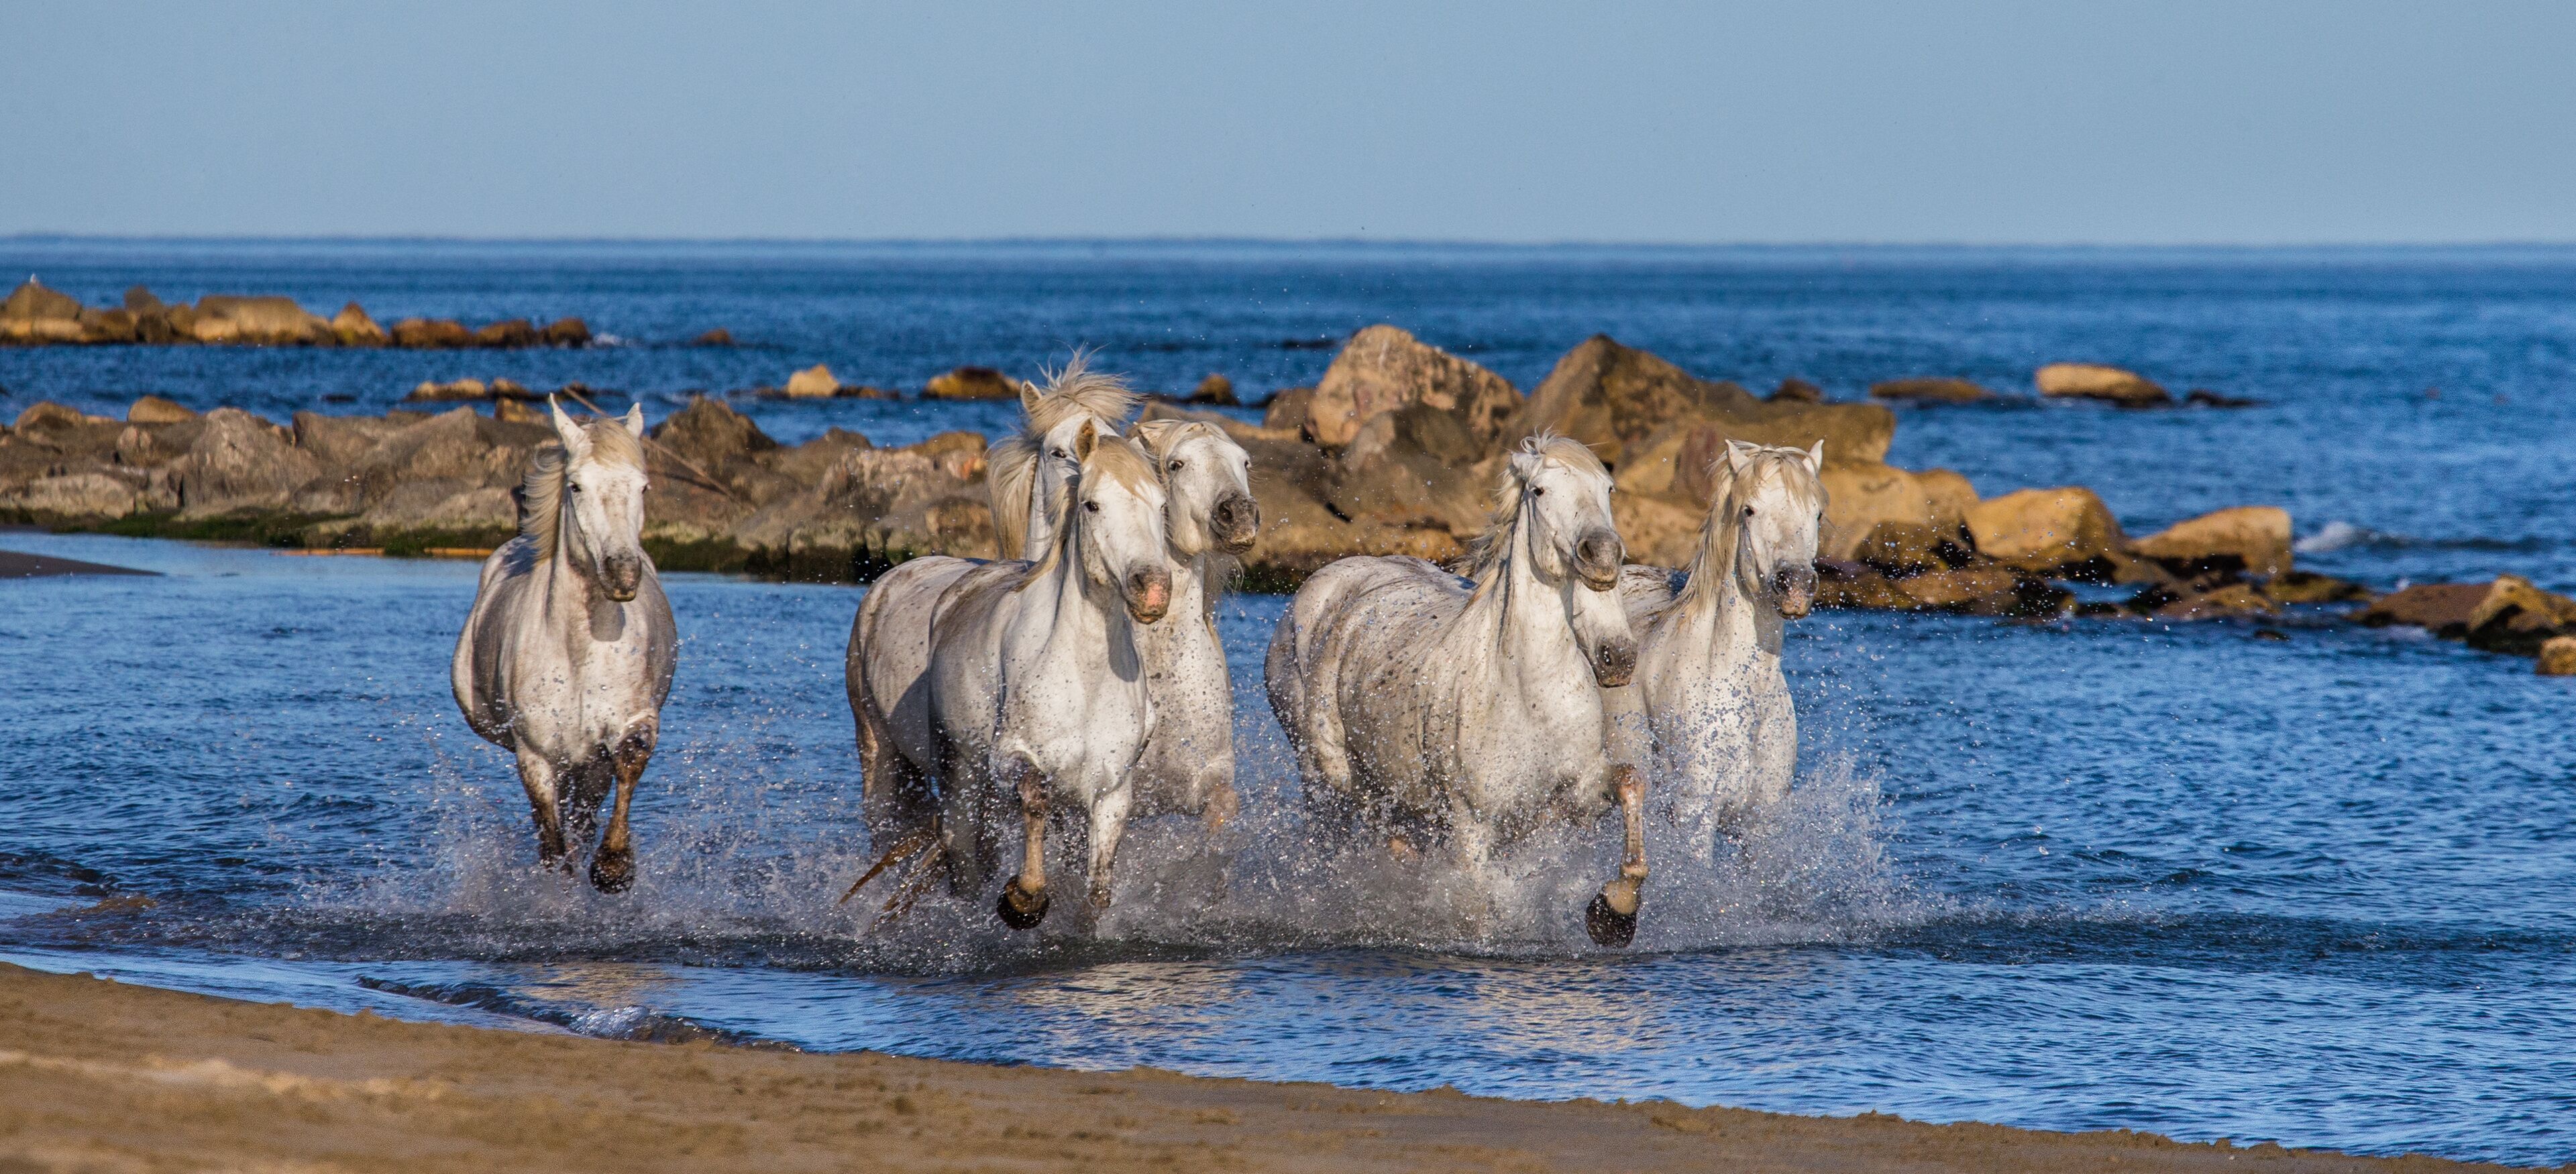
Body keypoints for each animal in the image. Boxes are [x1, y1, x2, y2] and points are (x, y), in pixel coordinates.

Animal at [452, 398, 678, 893]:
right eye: (576, 486)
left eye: (644, 486)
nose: (622, 574)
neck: (579, 654)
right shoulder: (534, 754)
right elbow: (551, 843)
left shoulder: (626, 728)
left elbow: (630, 762)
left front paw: (613, 868)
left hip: (586, 765)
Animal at [850, 418, 1172, 929]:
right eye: (1092, 504)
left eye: (1162, 505)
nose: (1153, 590)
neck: (1082, 677)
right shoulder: (1012, 759)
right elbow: (1034, 797)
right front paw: (1024, 899)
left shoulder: (1111, 791)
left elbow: (1097, 888)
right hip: (924, 772)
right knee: (958, 864)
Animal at [1263, 433, 1648, 946]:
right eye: (1540, 490)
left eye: (1608, 488)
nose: (1602, 556)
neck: (1526, 696)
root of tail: (1321, 584)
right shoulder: (1473, 825)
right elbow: (1480, 906)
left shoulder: (1577, 795)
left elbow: (1630, 783)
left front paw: (1614, 911)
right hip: (1327, 783)